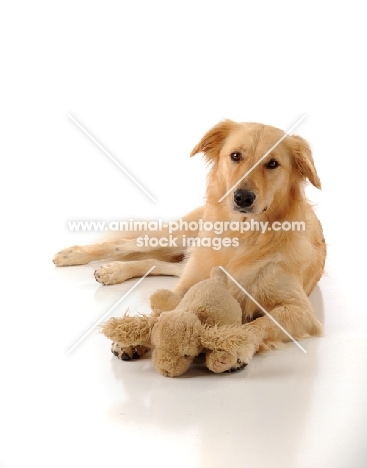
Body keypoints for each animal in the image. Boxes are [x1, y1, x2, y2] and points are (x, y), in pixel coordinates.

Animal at [53, 121, 326, 372]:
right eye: (235, 156)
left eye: (272, 164)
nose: (243, 197)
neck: (242, 235)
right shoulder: (189, 284)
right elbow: (161, 313)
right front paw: (132, 338)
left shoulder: (302, 311)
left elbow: (260, 324)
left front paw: (236, 347)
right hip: (179, 236)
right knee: (125, 244)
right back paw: (81, 257)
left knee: (156, 263)